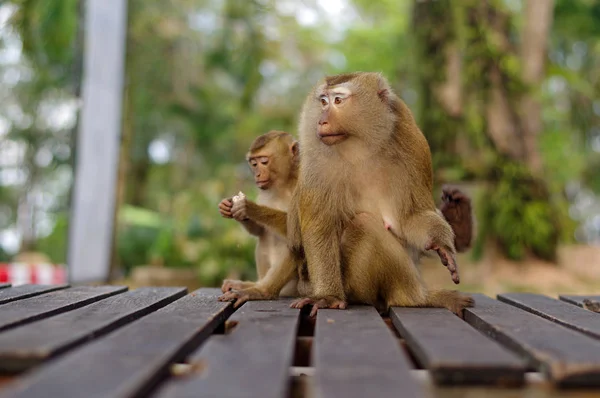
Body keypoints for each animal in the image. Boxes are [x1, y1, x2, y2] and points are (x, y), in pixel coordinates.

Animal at [218, 131, 298, 296]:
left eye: (264, 161)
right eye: (253, 163)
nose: (257, 174)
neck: (283, 184)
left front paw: (249, 208)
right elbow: (260, 230)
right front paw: (227, 206)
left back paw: (262, 291)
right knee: (264, 237)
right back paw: (249, 285)